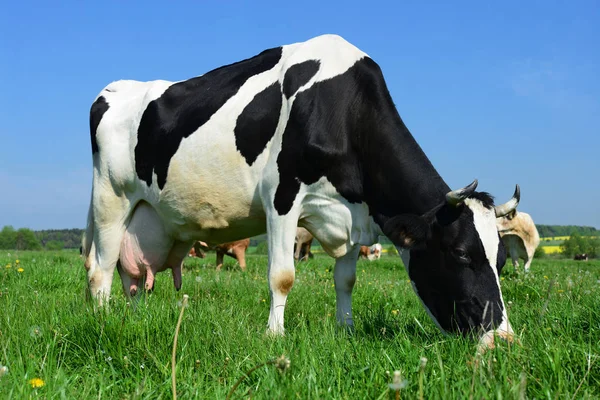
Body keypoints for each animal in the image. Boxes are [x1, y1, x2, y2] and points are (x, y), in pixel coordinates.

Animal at [83, 33, 520, 346]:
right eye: (461, 254)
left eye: (501, 260)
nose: (505, 340)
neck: (343, 109)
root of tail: (114, 89)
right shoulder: (282, 196)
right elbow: (282, 276)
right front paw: (274, 334)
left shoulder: (352, 216)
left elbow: (346, 279)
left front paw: (346, 329)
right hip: (110, 199)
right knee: (100, 269)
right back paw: (103, 322)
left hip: (146, 218)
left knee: (133, 276)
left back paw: (135, 321)